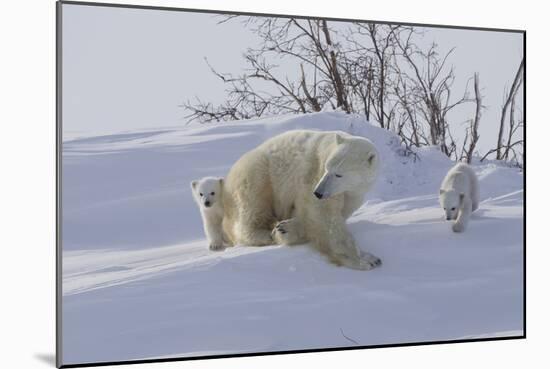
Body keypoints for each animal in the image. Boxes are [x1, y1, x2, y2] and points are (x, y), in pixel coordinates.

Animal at [222, 129, 382, 270]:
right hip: (259, 172)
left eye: (339, 174)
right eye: (327, 168)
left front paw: (286, 228)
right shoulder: (315, 176)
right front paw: (366, 260)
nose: (318, 193)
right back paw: (264, 234)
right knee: (253, 207)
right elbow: (323, 217)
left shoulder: (353, 193)